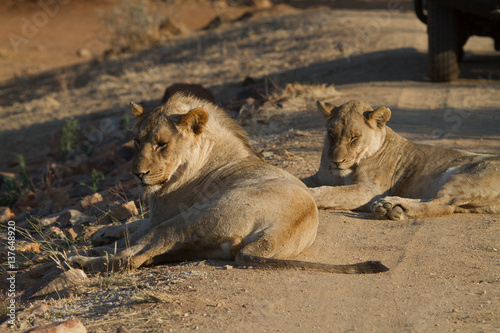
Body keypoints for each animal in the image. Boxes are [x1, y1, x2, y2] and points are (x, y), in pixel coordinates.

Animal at [68, 92, 386, 272]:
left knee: (136, 255)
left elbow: (136, 231)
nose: (137, 173)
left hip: (195, 216)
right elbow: (130, 226)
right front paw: (103, 233)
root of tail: (276, 235)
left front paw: (99, 243)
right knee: (146, 253)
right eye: (136, 141)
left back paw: (81, 262)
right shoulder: (158, 215)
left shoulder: (164, 215)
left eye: (161, 144)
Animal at [302, 100, 500, 222]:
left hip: (460, 177)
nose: (336, 162)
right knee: (438, 201)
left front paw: (311, 195)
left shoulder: (370, 190)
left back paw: (393, 208)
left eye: (354, 138)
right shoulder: (319, 177)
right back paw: (390, 206)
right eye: (331, 134)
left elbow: (332, 192)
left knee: (444, 205)